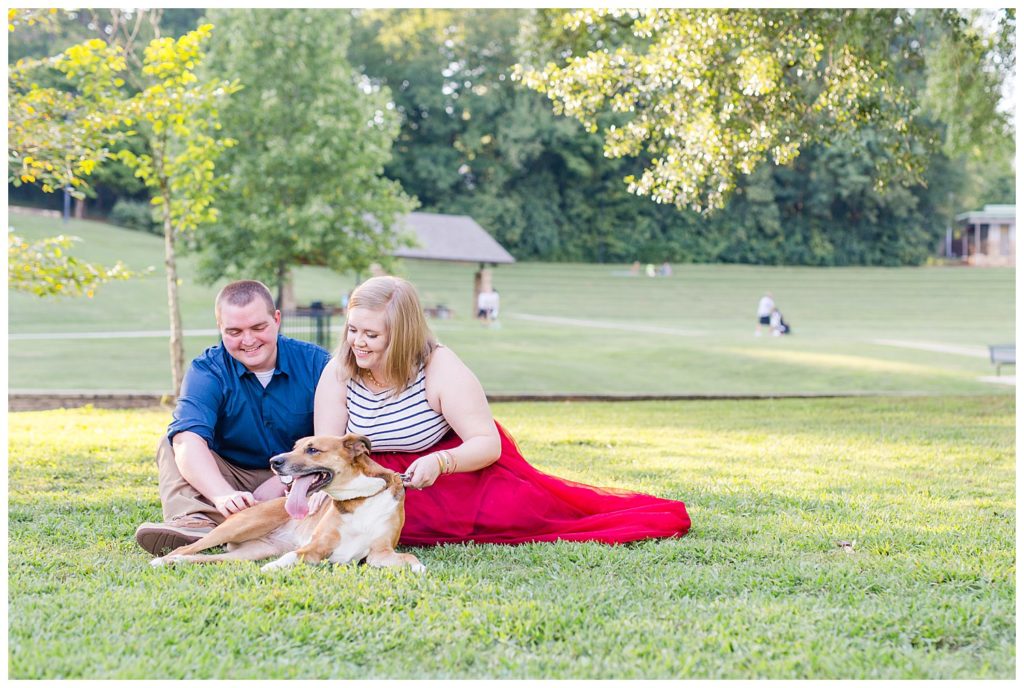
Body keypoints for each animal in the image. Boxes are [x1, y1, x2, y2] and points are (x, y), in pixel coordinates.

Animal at [150, 436, 423, 573]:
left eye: (313, 450)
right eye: (295, 447)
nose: (274, 461)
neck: (359, 497)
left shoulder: (380, 553)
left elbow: (410, 558)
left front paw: (418, 569)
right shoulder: (315, 547)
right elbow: (292, 556)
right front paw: (272, 568)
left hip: (249, 552)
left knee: (205, 558)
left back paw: (178, 563)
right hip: (241, 525)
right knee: (186, 548)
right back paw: (163, 560)